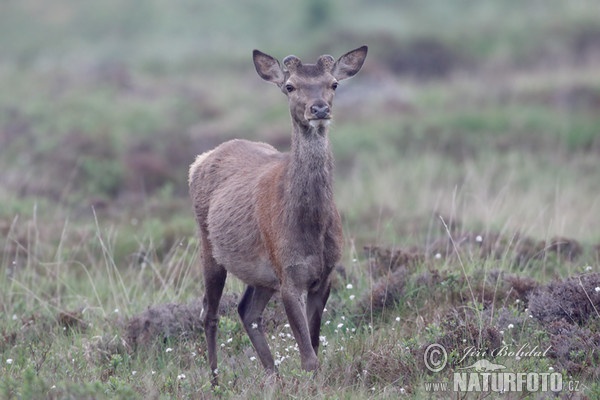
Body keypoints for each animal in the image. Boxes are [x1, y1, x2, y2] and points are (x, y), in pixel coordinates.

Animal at [189, 44, 366, 384]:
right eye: (290, 86)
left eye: (334, 83)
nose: (319, 109)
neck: (310, 228)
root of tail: (198, 160)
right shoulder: (288, 274)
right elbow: (308, 357)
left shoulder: (325, 275)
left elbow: (313, 344)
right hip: (208, 245)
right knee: (209, 312)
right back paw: (216, 381)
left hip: (262, 274)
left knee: (247, 310)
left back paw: (273, 375)